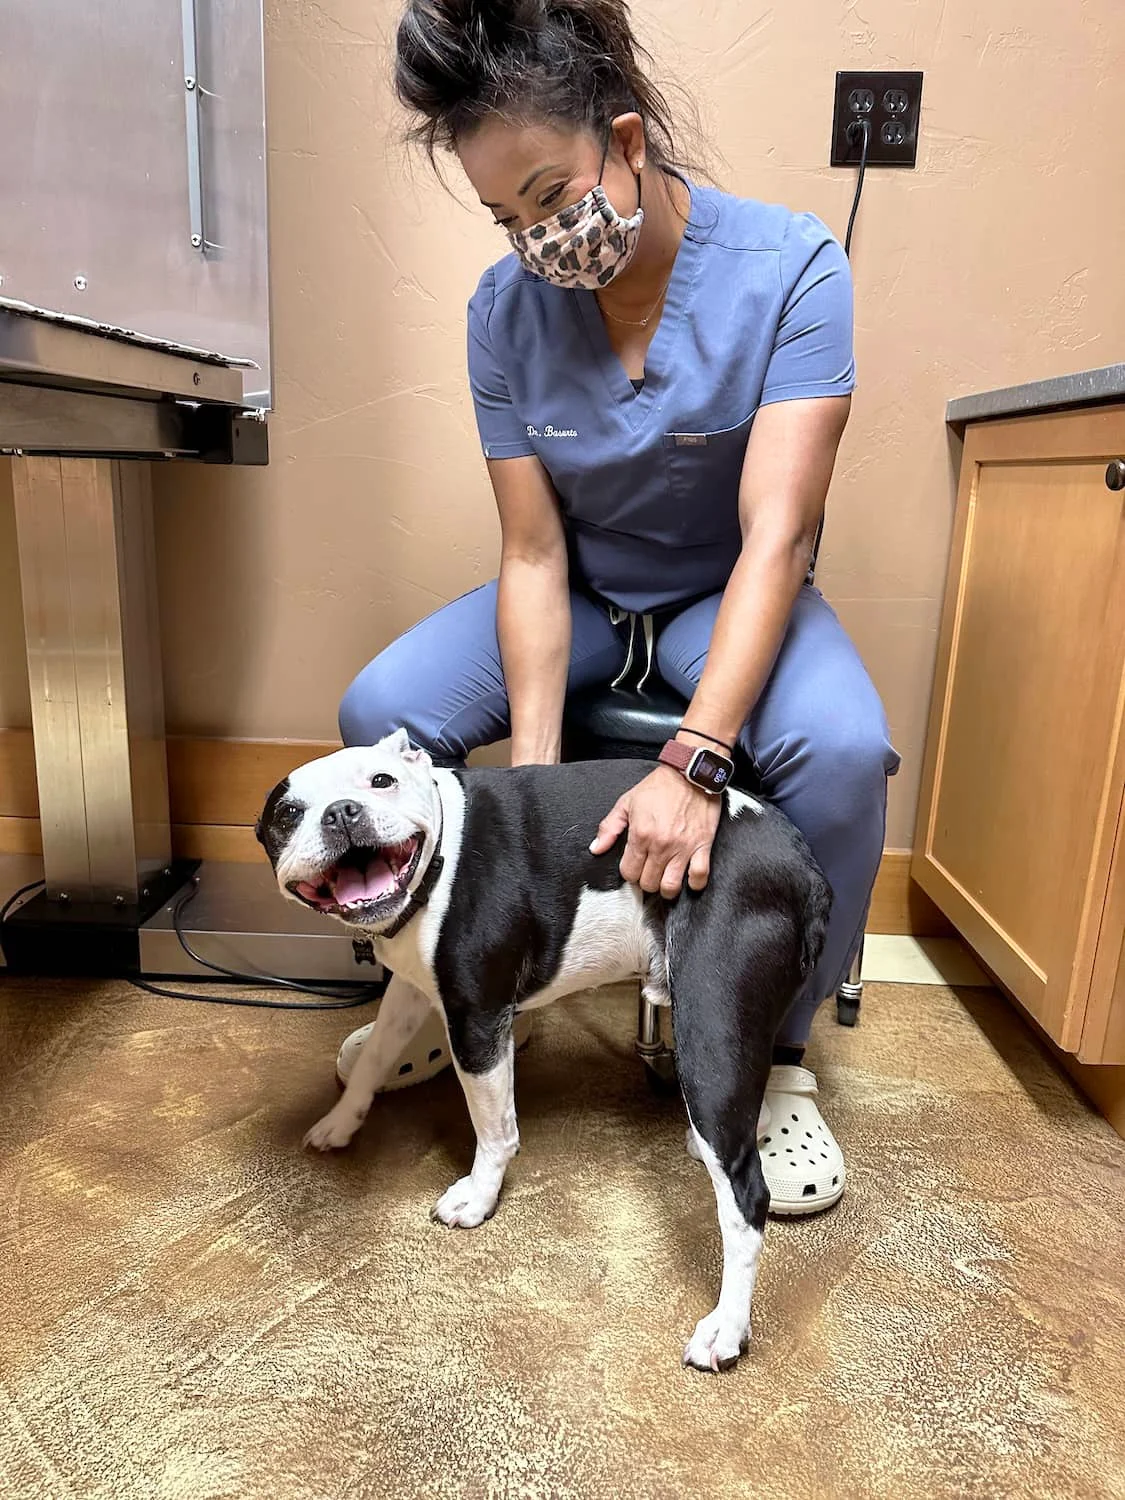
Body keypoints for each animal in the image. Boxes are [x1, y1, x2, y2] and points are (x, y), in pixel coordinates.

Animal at [259, 729, 834, 1374]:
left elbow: (493, 1129)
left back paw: (727, 1328)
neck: (440, 855)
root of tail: (800, 863)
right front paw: (341, 1120)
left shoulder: (477, 1021)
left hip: (710, 1026)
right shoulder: (412, 989)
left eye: (381, 781)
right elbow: (375, 1060)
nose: (341, 813)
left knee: (745, 1195)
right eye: (288, 814)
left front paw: (479, 1196)